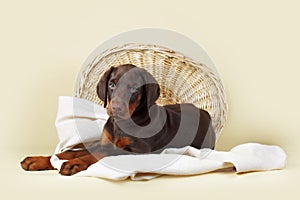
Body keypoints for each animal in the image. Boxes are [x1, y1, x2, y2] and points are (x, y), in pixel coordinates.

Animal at [19, 63, 214, 175]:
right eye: (112, 84)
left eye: (134, 88)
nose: (116, 108)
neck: (122, 124)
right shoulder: (104, 142)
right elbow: (70, 151)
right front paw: (38, 160)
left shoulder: (135, 152)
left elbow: (99, 154)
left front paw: (75, 164)